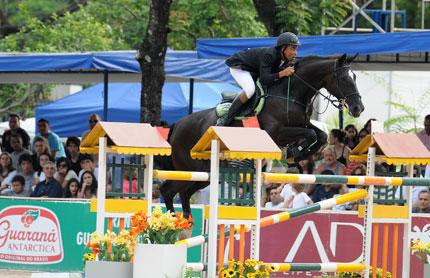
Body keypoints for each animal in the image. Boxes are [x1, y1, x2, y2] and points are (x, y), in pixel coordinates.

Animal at [159, 53, 366, 217]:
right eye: (344, 79)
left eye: (355, 77)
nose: (358, 109)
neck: (289, 93)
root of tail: (177, 125)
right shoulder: (277, 133)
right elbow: (310, 135)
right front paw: (293, 153)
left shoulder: (303, 124)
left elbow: (320, 135)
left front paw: (296, 154)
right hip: (190, 168)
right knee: (168, 191)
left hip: (203, 174)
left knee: (182, 193)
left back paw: (185, 222)